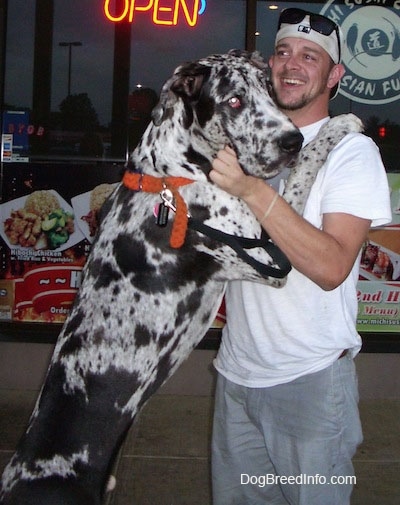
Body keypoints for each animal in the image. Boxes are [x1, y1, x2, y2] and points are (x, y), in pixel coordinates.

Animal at [0, 49, 362, 502]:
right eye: (234, 101)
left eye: (269, 88)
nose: (291, 140)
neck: (172, 174)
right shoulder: (268, 254)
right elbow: (300, 174)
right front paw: (339, 125)